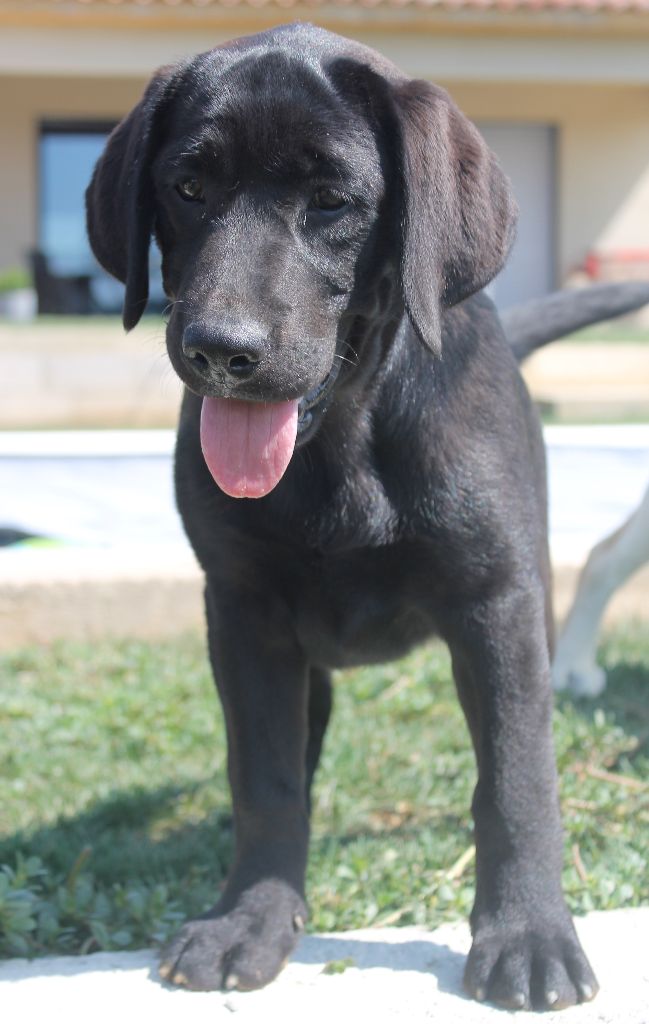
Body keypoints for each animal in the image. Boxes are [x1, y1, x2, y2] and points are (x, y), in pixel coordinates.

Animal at [84, 22, 597, 1007]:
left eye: (331, 201)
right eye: (188, 187)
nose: (220, 349)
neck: (343, 443)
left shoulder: (498, 605)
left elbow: (517, 779)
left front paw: (526, 933)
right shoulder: (241, 612)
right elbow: (265, 777)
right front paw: (251, 917)